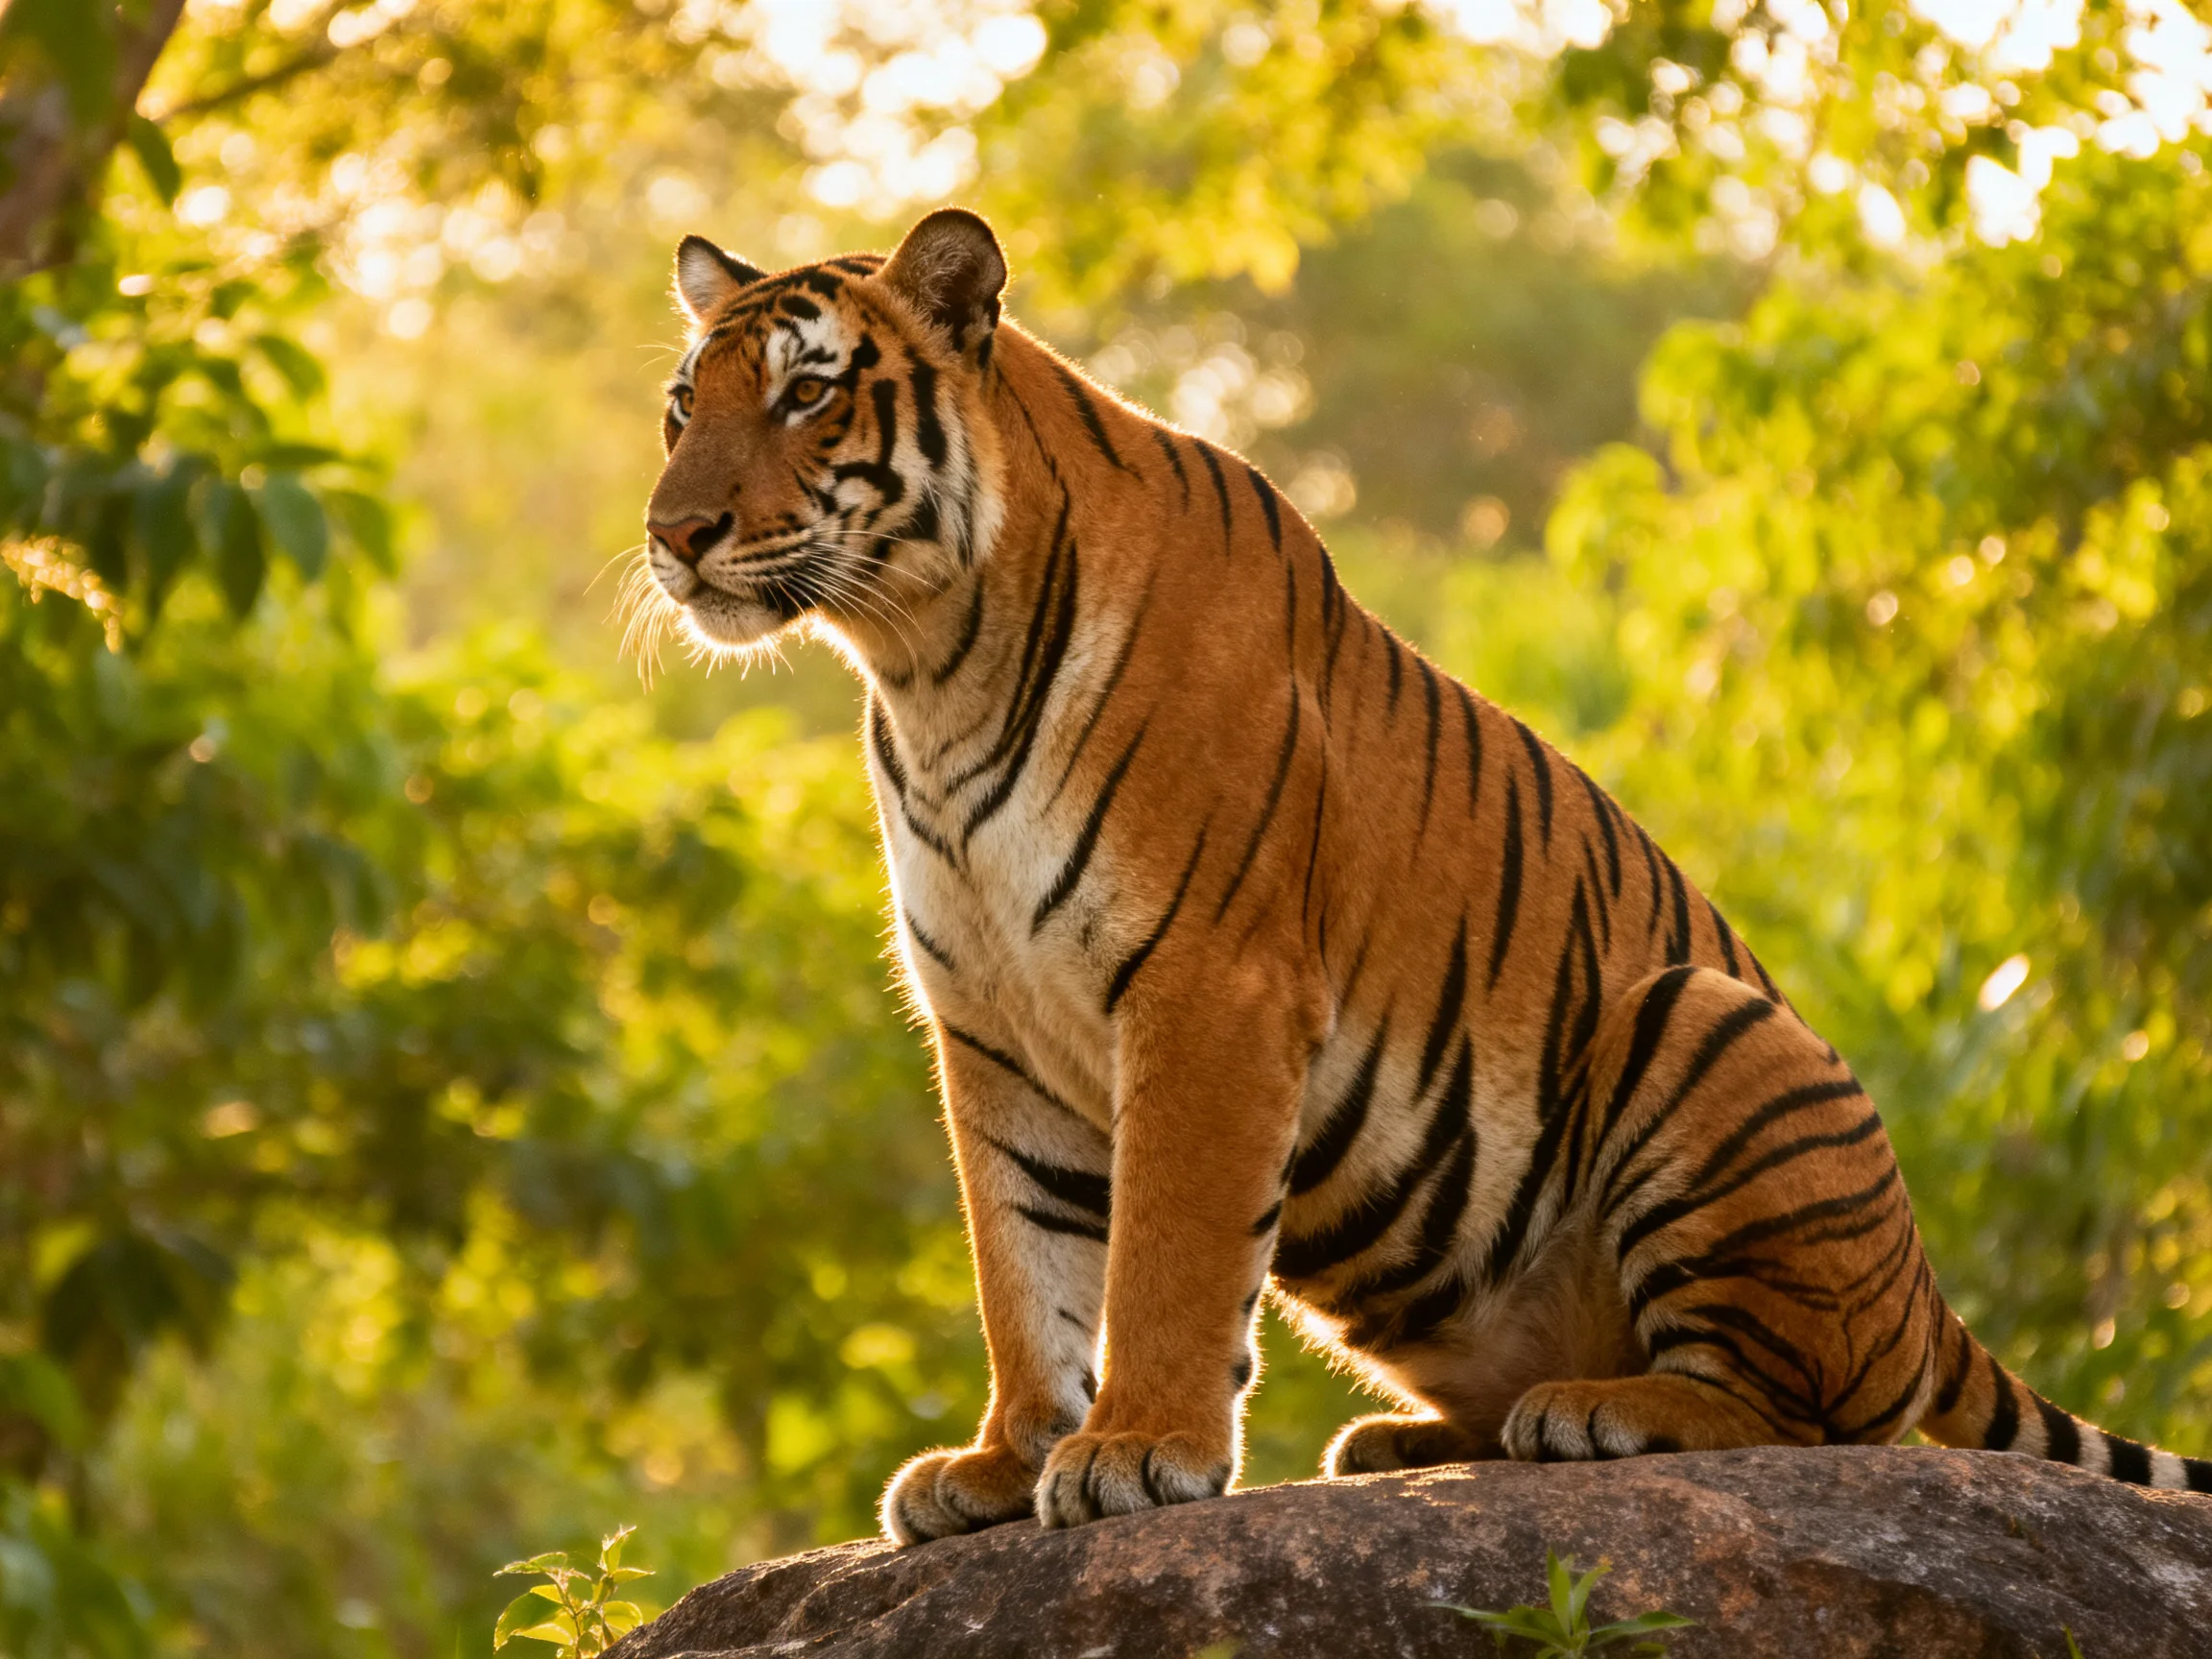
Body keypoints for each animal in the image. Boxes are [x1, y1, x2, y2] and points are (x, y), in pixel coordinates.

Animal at [638, 206, 2212, 1544]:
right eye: (681, 408)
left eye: (806, 396)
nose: (672, 533)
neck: (928, 661)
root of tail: (1928, 1297)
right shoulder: (990, 1024)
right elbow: (1022, 1262)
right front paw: (1004, 1461)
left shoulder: (1208, 988)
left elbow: (1162, 1254)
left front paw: (1137, 1450)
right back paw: (1420, 1441)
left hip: (1706, 1023)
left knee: (1810, 1417)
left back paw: (1599, 1412)